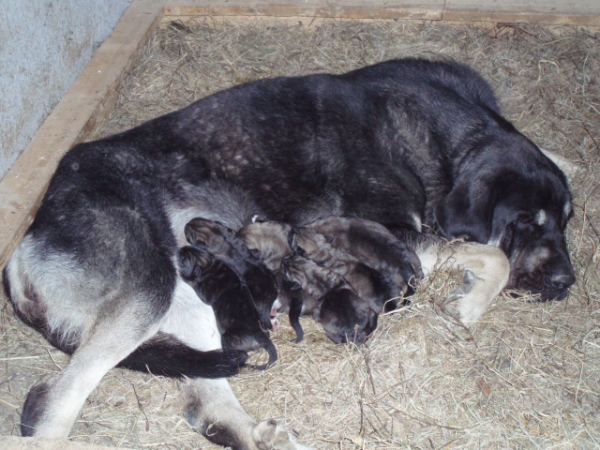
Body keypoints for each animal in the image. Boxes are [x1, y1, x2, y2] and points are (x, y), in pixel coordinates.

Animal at [2, 58, 576, 448]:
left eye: (567, 220)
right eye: (525, 223)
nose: (567, 283)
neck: (442, 143)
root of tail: (24, 244)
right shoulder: (396, 233)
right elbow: (495, 257)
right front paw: (471, 305)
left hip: (199, 303)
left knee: (211, 403)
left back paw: (263, 435)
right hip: (149, 291)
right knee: (51, 404)